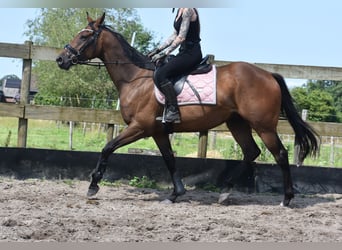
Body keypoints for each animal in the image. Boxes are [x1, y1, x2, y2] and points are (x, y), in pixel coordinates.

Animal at [54, 12, 320, 206]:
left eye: (84, 36)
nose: (60, 59)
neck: (135, 78)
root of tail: (269, 75)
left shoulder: (139, 127)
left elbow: (107, 148)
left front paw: (93, 186)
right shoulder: (158, 132)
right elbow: (170, 160)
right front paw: (176, 194)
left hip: (263, 125)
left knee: (280, 154)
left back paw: (286, 199)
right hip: (237, 122)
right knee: (251, 152)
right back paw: (225, 193)